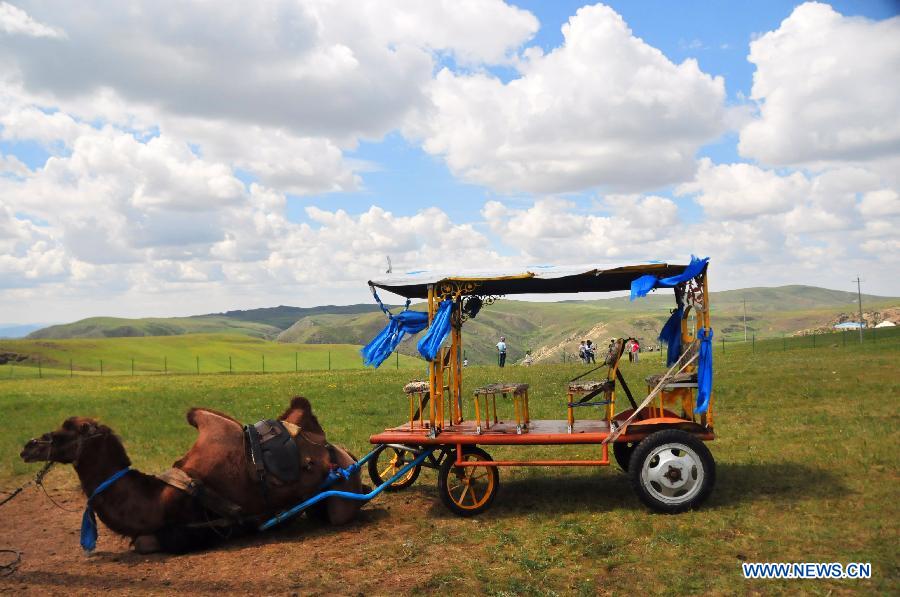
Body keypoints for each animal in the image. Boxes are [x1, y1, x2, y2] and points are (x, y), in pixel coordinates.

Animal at [17, 396, 362, 556]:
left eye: (67, 431)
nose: (28, 446)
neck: (154, 497)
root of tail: (344, 453)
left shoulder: (192, 529)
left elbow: (146, 543)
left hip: (344, 492)